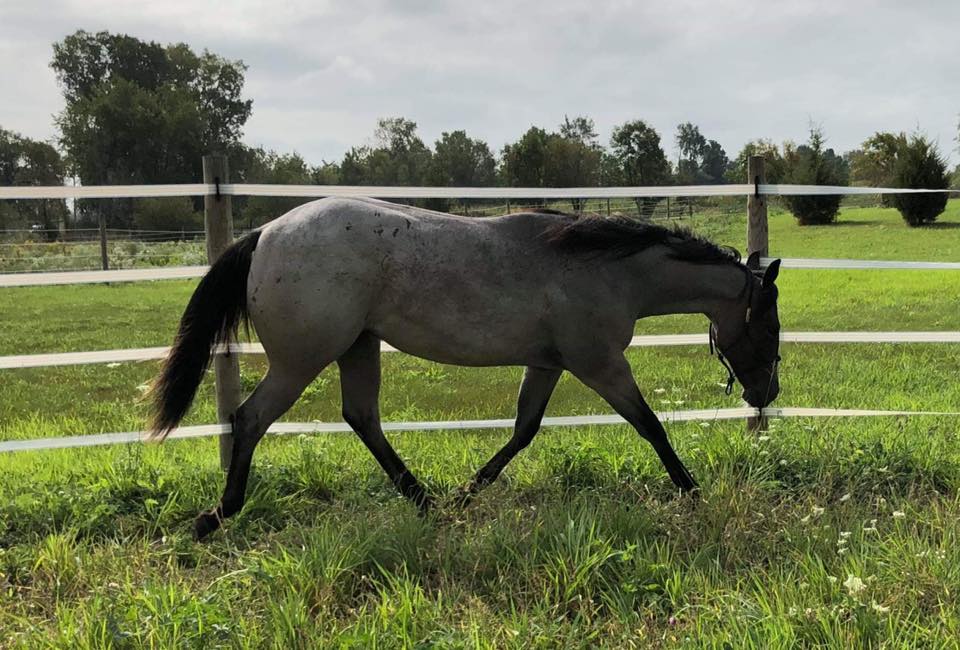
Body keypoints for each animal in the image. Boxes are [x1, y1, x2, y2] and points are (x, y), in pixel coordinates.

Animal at [150, 196, 780, 536]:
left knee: (362, 418)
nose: (767, 392)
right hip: (302, 358)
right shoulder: (598, 363)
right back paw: (216, 515)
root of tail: (264, 233)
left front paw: (463, 495)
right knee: (251, 418)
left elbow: (523, 431)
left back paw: (426, 501)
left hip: (358, 347)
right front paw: (692, 491)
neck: (606, 268)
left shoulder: (549, 365)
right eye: (768, 325)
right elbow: (649, 425)